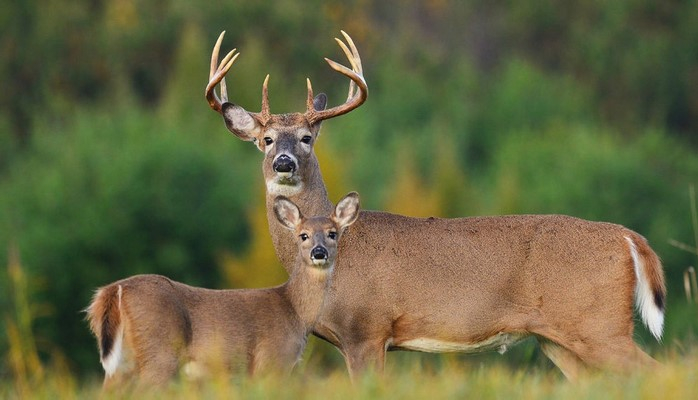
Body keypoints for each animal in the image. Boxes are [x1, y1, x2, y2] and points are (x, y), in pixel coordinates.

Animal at [83, 192, 358, 386]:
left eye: (332, 233)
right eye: (303, 235)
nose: (318, 253)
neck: (295, 312)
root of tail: (114, 290)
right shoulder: (271, 361)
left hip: (123, 362)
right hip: (159, 353)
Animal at [205, 29, 664, 380]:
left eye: (306, 138)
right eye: (266, 140)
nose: (283, 162)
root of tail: (629, 238)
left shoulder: (367, 330)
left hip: (599, 325)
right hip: (560, 339)